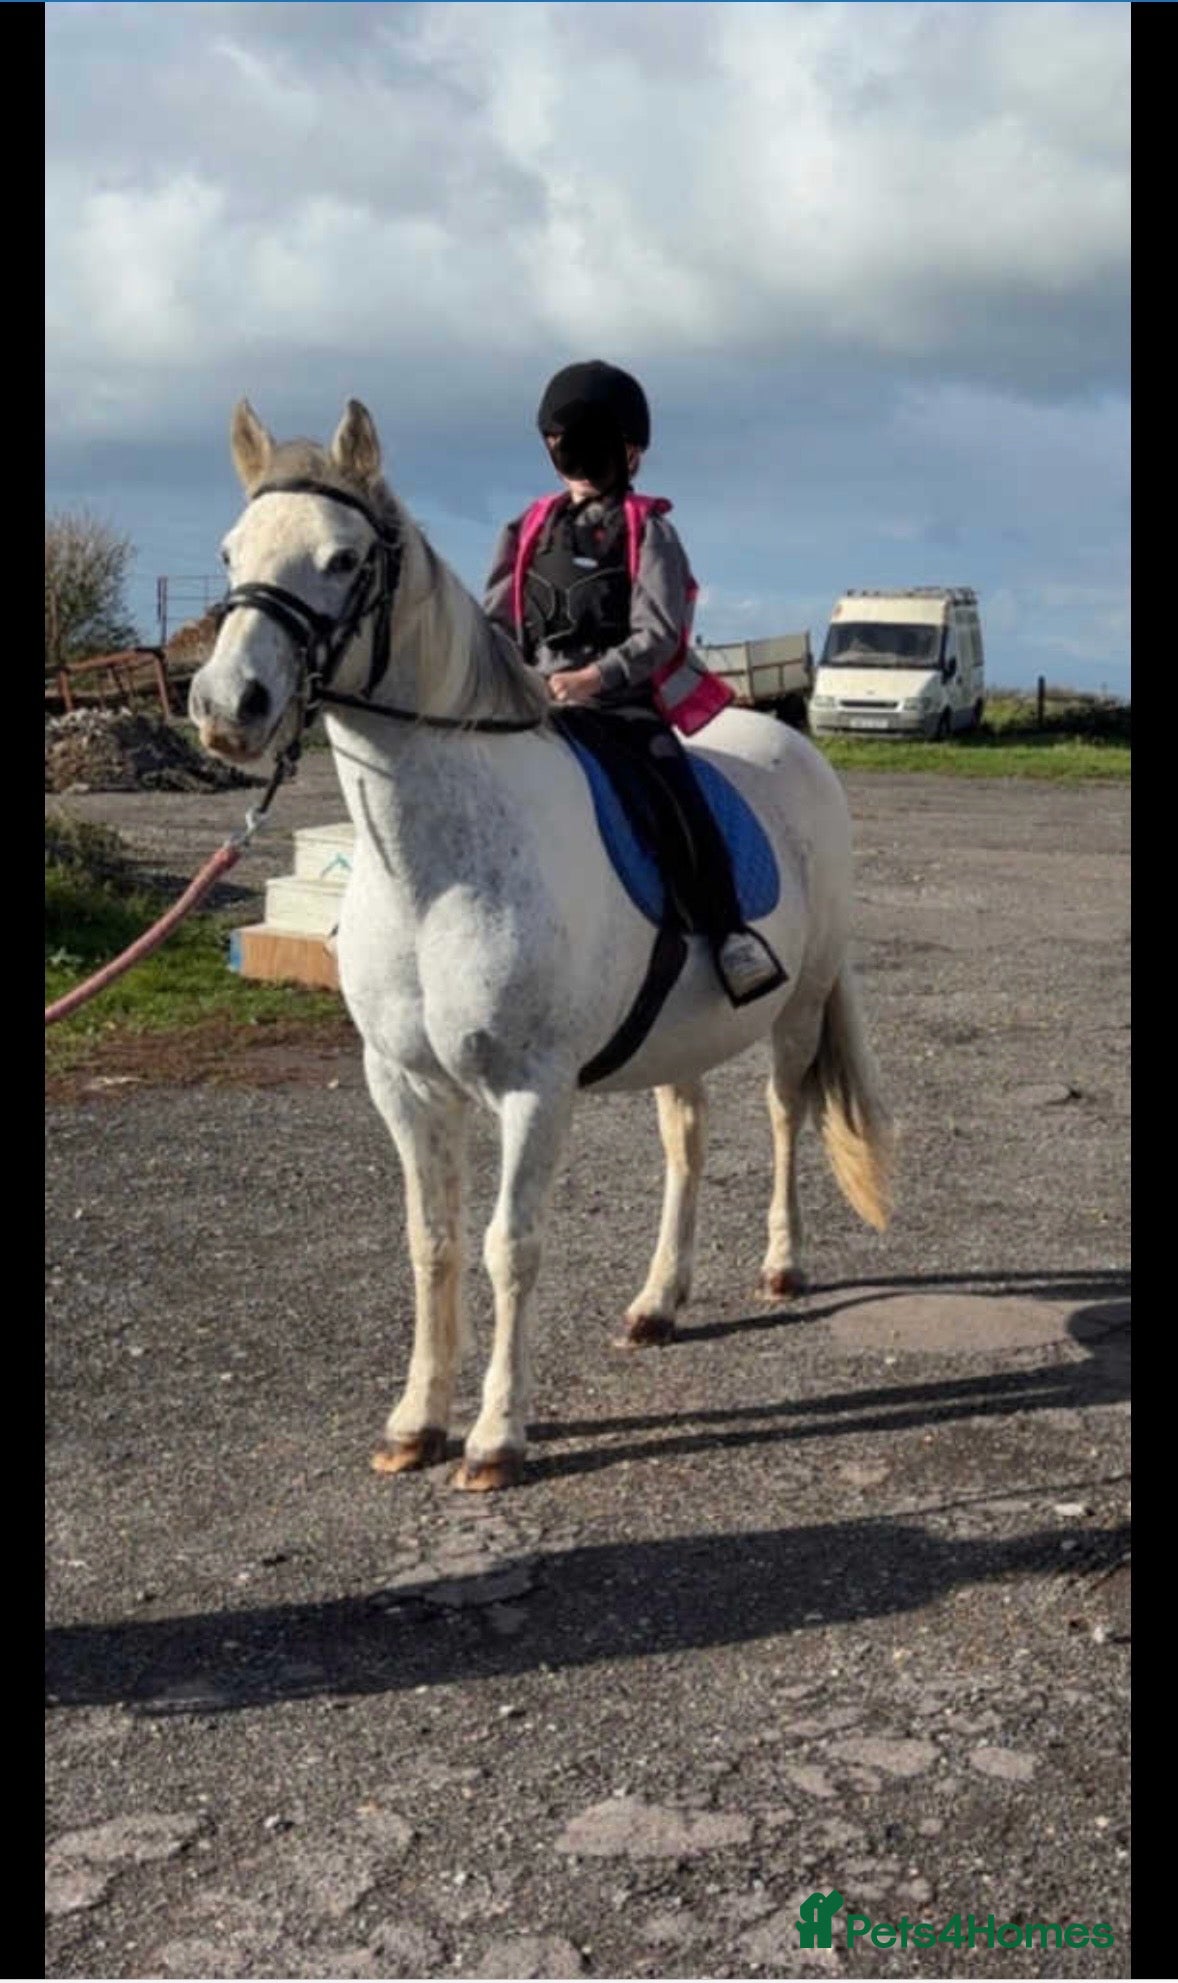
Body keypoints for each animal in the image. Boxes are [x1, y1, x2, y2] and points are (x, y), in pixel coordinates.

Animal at [189, 398, 893, 1491]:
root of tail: (792, 744)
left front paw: (494, 1435)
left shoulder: (533, 1087)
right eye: (230, 552)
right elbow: (431, 1242)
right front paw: (414, 1422)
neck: (434, 873)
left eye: (344, 560)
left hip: (800, 1006)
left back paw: (781, 1264)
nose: (229, 709)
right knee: (687, 1140)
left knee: (785, 1116)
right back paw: (657, 1302)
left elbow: (507, 1246)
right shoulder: (402, 1084)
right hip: (679, 1037)